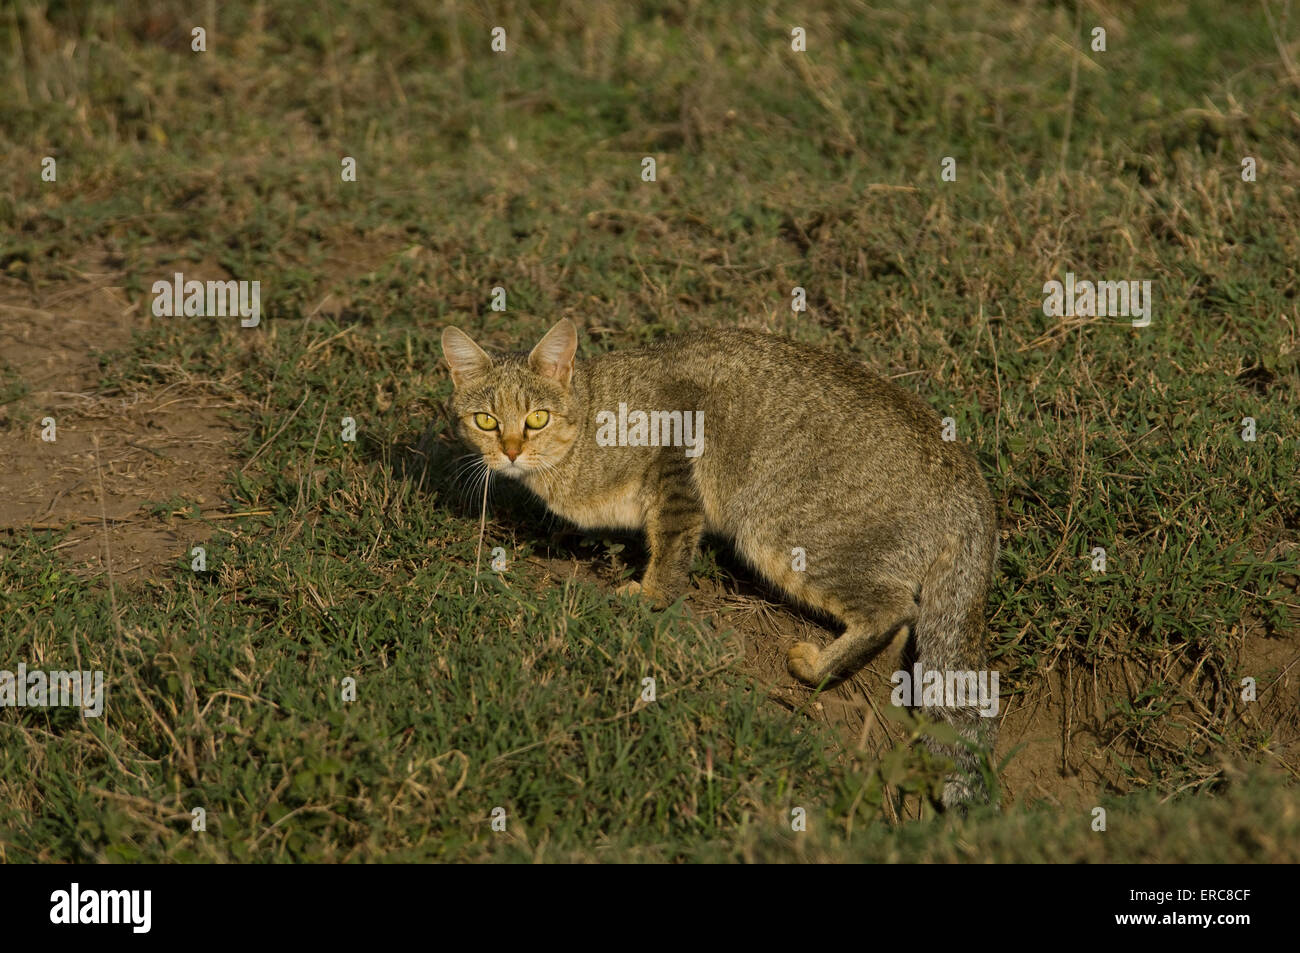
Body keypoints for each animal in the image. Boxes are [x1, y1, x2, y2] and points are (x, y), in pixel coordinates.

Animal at [441, 317, 998, 800]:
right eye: (486, 420)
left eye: (537, 418)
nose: (511, 450)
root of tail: (975, 493)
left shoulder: (676, 453)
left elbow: (671, 546)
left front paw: (648, 596)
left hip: (778, 532)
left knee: (893, 609)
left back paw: (817, 666)